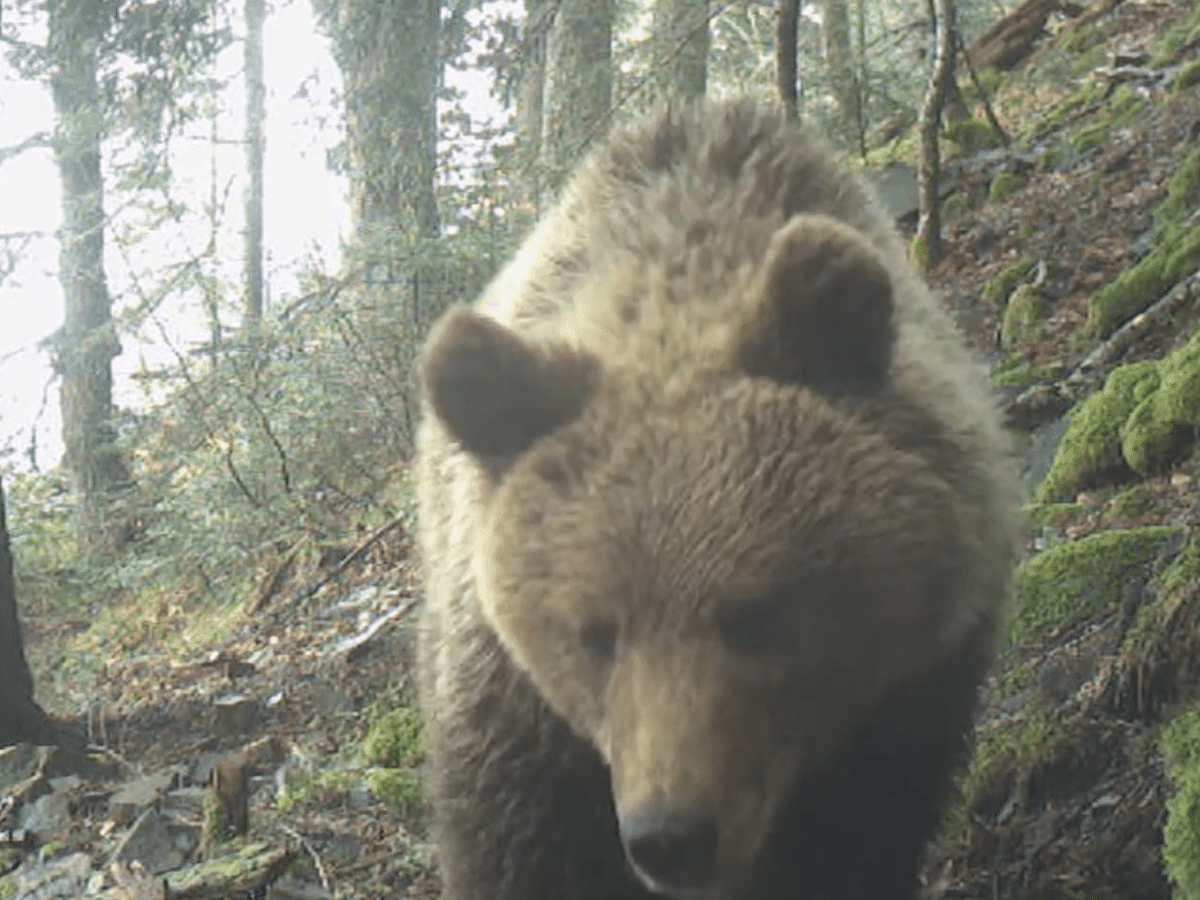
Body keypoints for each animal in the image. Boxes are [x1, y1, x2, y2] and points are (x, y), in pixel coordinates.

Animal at [415, 98, 1022, 900]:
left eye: (755, 614)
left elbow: (858, 839)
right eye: (594, 634)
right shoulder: (515, 717)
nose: (669, 835)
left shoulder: (910, 688)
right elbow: (518, 846)